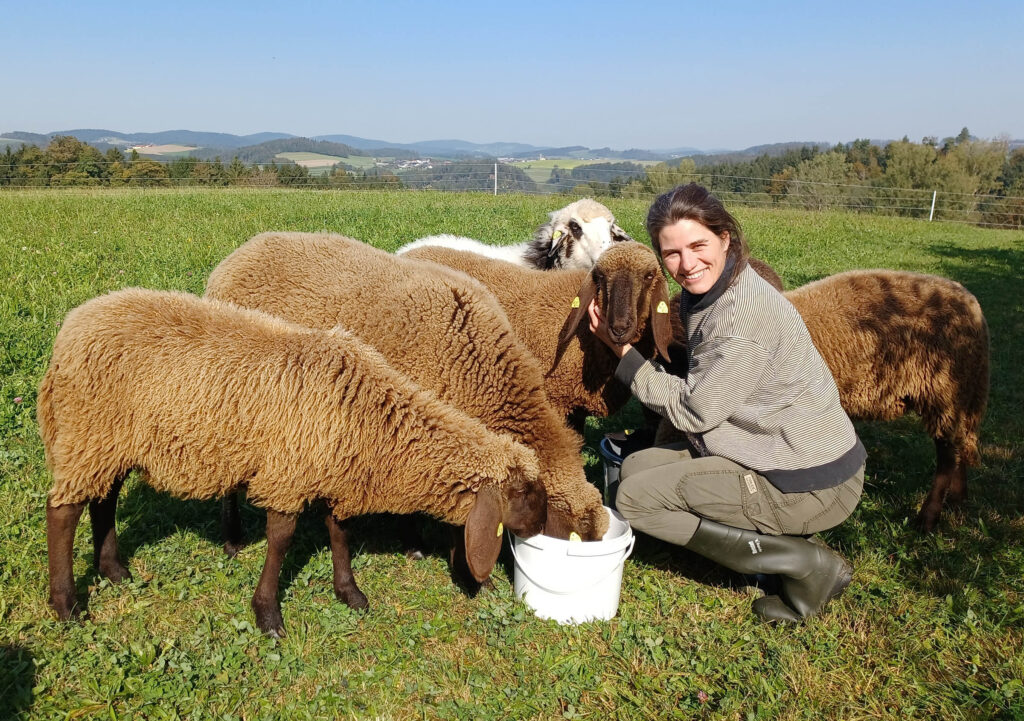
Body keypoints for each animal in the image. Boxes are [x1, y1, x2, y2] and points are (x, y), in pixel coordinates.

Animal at [37, 286, 552, 634]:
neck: (371, 417)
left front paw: (349, 593)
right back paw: (67, 605)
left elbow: (339, 534)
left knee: (104, 501)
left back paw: (115, 571)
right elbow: (281, 541)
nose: (543, 528)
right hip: (87, 431)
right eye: (525, 493)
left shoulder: (332, 472)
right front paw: (267, 614)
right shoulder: (290, 470)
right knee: (62, 512)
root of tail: (70, 328)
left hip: (109, 442)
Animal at [659, 270, 987, 528]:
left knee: (947, 455)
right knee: (960, 447)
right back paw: (958, 499)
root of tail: (970, 302)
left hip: (944, 392)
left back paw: (928, 519)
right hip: (960, 396)